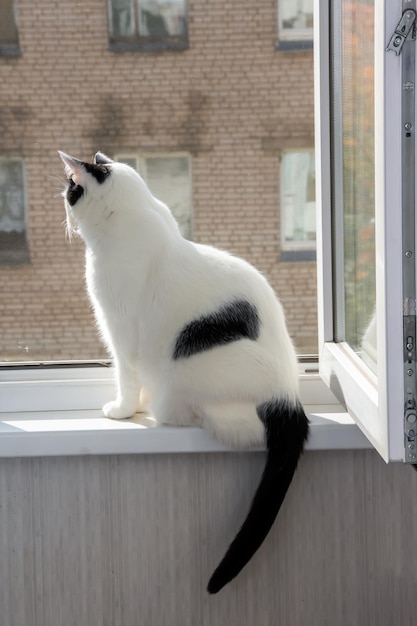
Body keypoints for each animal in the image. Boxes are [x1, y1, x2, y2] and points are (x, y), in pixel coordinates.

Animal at [58, 149, 308, 592]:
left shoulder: (120, 330)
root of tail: (289, 397)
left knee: (215, 420)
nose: (62, 206)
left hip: (190, 369)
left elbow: (125, 374)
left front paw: (124, 411)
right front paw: (135, 407)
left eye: (70, 190)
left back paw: (167, 412)